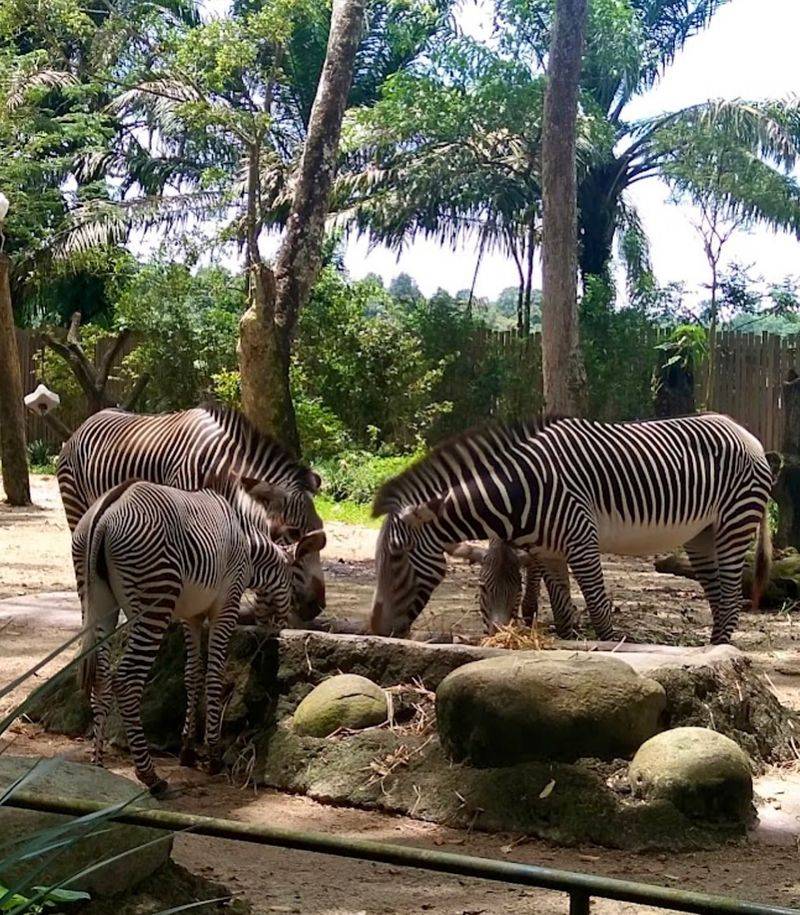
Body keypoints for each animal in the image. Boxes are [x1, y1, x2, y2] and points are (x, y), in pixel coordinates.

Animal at [74, 476, 324, 792]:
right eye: (293, 584)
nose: (281, 627)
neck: (248, 549)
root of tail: (107, 510)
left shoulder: (190, 617)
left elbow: (192, 675)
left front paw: (188, 750)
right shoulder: (226, 606)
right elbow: (214, 676)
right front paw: (213, 754)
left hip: (96, 602)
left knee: (101, 677)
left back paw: (97, 764)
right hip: (154, 602)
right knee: (127, 679)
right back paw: (150, 776)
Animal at [370, 416, 776, 644]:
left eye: (396, 556)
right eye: (482, 590)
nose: (375, 629)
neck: (520, 492)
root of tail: (748, 434)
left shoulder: (582, 541)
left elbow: (598, 608)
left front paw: (610, 649)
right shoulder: (548, 552)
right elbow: (564, 610)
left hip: (733, 524)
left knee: (729, 595)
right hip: (700, 536)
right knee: (718, 597)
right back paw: (712, 649)